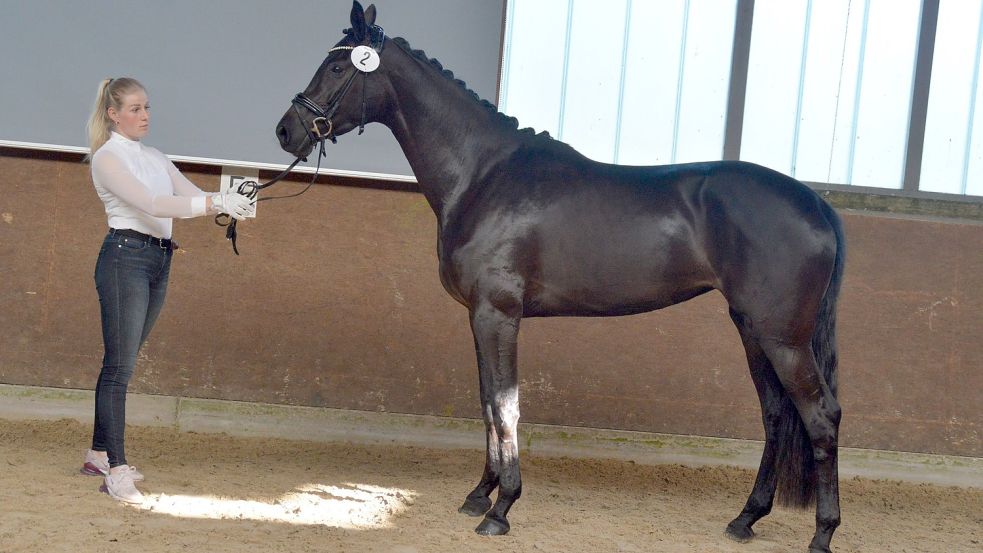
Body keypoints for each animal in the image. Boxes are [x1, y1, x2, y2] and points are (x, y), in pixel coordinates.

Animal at [274, 2, 844, 548]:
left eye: (335, 66)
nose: (286, 130)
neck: (482, 175)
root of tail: (816, 203)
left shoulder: (498, 315)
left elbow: (505, 407)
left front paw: (501, 509)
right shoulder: (479, 319)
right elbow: (487, 404)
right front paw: (479, 495)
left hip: (782, 338)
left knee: (821, 416)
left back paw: (822, 534)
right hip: (752, 329)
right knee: (776, 415)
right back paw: (746, 518)